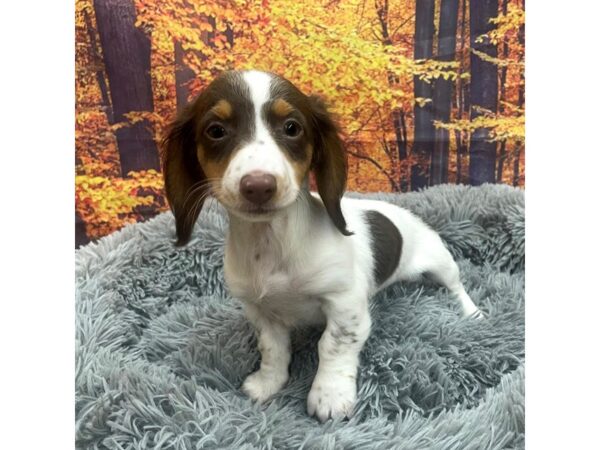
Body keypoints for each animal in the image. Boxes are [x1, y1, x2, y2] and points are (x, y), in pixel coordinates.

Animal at [161, 70, 482, 422]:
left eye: (292, 127)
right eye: (216, 131)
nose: (258, 186)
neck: (274, 243)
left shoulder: (344, 303)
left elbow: (332, 346)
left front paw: (330, 395)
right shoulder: (260, 311)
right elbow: (273, 348)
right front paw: (268, 382)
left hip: (441, 264)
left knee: (457, 288)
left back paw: (473, 313)